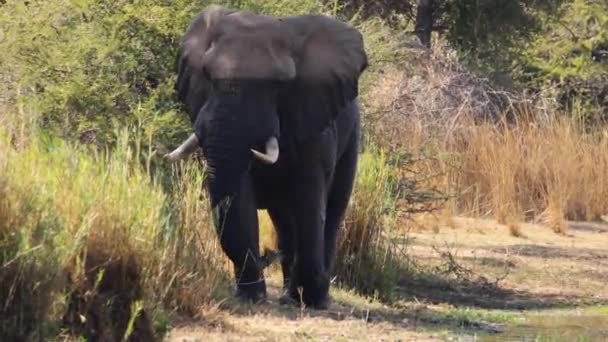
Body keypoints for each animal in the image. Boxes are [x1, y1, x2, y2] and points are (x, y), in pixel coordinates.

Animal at [164, 5, 368, 310]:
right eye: (208, 75)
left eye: (278, 84)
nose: (265, 256)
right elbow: (241, 197)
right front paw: (251, 296)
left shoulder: (315, 122)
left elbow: (310, 199)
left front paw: (310, 298)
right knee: (284, 219)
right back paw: (288, 293)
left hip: (353, 135)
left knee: (332, 211)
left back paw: (314, 296)